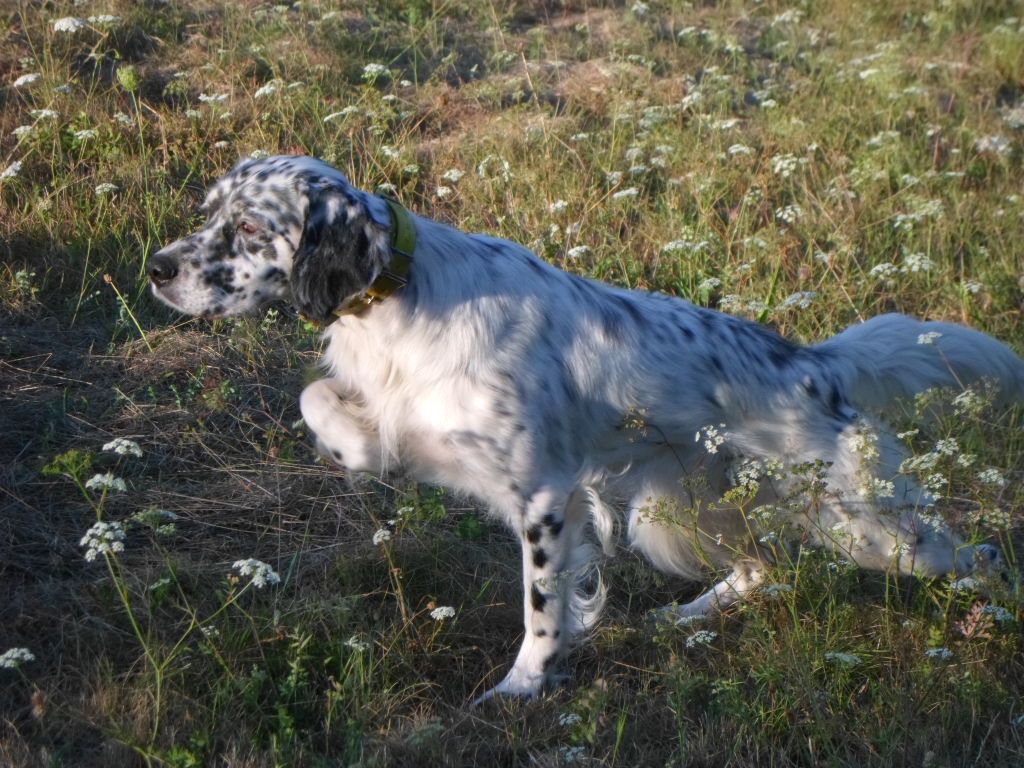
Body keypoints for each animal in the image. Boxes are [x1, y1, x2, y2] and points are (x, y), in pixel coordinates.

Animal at [153, 154, 1024, 704]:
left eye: (247, 229)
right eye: (208, 215)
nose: (158, 268)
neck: (399, 299)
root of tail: (816, 363)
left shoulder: (545, 495)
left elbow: (543, 610)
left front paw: (522, 688)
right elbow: (322, 400)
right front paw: (357, 447)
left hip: (870, 525)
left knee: (979, 557)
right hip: (674, 512)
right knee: (764, 565)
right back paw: (686, 617)